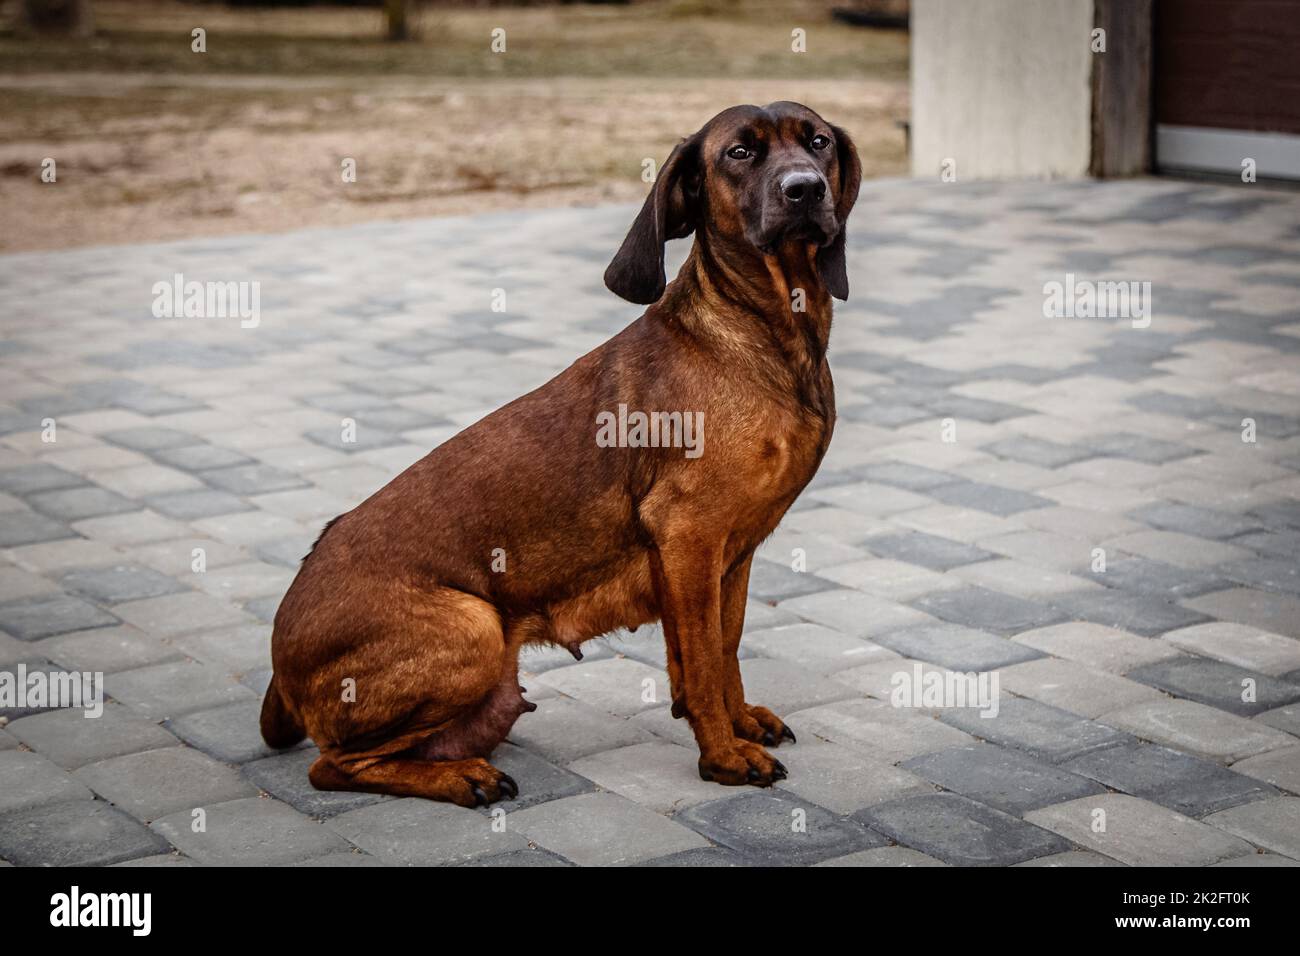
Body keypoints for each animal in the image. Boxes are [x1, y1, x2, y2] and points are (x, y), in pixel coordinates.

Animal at [258, 102, 857, 806]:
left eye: (818, 142)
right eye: (739, 153)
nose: (805, 189)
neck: (758, 334)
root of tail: (278, 662)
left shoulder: (730, 553)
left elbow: (722, 647)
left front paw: (738, 724)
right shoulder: (689, 539)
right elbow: (706, 661)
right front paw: (723, 756)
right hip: (475, 627)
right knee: (333, 766)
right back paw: (462, 777)